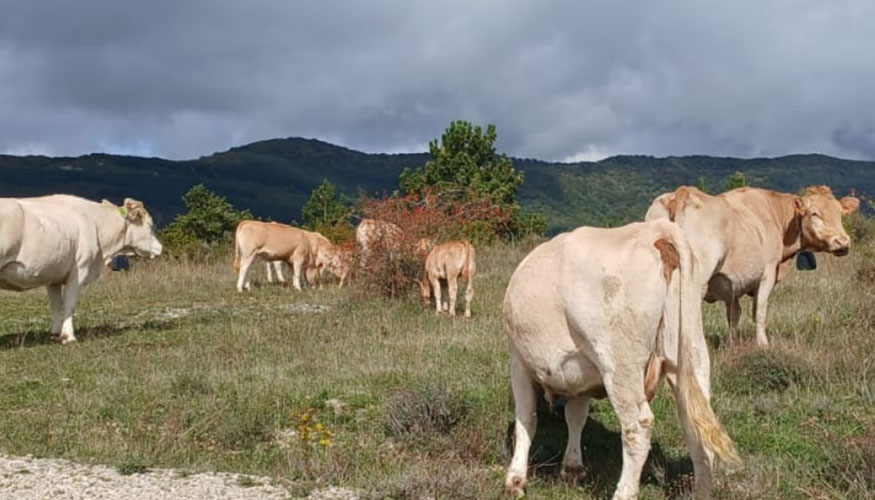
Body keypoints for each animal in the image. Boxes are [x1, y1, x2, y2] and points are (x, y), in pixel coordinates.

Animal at [0, 195, 163, 344]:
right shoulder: (80, 270)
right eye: (150, 225)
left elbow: (56, 305)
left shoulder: (53, 275)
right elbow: (69, 304)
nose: (160, 248)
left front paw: (55, 334)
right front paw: (69, 337)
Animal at [506, 221, 740, 500]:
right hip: (691, 353)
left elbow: (526, 419)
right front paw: (572, 468)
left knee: (638, 426)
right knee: (695, 423)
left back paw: (624, 492)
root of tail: (655, 231)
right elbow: (575, 416)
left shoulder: (519, 363)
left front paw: (516, 479)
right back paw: (702, 490)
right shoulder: (581, 377)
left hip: (619, 364)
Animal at [648, 186, 860, 346]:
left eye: (840, 213)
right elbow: (759, 311)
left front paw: (731, 344)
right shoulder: (768, 273)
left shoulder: (732, 284)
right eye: (814, 213)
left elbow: (734, 315)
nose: (842, 242)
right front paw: (763, 344)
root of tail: (682, 193)